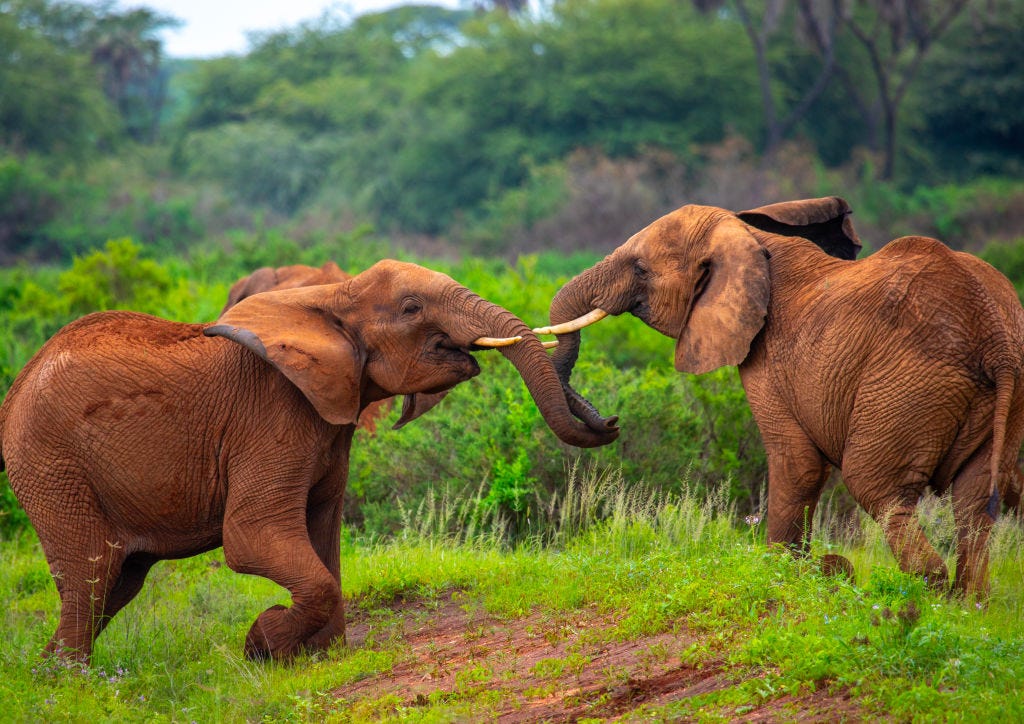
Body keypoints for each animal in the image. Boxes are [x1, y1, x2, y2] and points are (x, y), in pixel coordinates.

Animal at [0, 259, 617, 662]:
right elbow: (252, 537)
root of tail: (17, 385)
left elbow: (324, 535)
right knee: (92, 572)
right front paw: (261, 645)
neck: (333, 297)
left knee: (116, 583)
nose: (611, 423)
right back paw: (75, 682)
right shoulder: (271, 417)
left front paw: (322, 656)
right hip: (50, 464)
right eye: (411, 308)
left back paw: (51, 673)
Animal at [541, 196, 1024, 596]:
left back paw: (926, 588)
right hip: (1004, 391)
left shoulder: (767, 356)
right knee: (973, 499)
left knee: (876, 483)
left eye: (640, 269)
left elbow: (798, 462)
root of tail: (993, 333)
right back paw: (966, 602)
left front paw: (780, 574)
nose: (611, 422)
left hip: (909, 385)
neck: (749, 238)